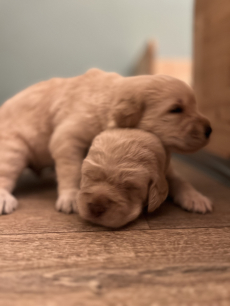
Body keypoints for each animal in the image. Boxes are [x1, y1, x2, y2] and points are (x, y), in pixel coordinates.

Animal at [0, 68, 212, 215]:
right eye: (175, 109)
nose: (210, 130)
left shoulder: (159, 157)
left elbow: (177, 178)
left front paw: (195, 197)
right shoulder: (67, 137)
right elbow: (71, 169)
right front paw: (70, 197)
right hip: (13, 149)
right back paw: (4, 199)